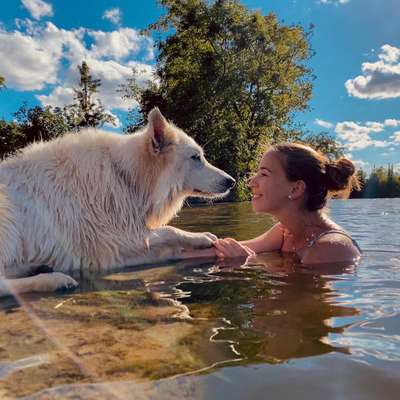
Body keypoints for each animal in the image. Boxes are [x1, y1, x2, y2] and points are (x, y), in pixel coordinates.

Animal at [0, 108, 236, 296]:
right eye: (196, 158)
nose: (232, 181)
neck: (126, 176)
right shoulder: (112, 245)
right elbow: (169, 230)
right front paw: (201, 237)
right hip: (7, 215)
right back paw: (54, 280)